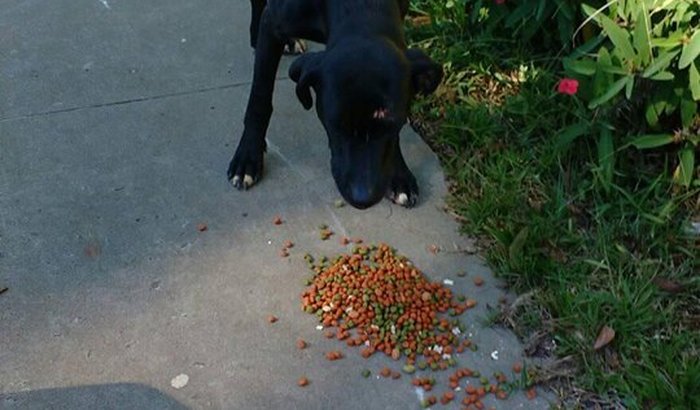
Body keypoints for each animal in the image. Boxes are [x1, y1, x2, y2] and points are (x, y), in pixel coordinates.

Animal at [230, 0, 442, 208]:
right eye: (335, 125)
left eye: (391, 124)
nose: (363, 199)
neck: (360, 9)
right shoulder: (271, 24)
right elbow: (259, 98)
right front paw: (248, 156)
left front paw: (399, 176)